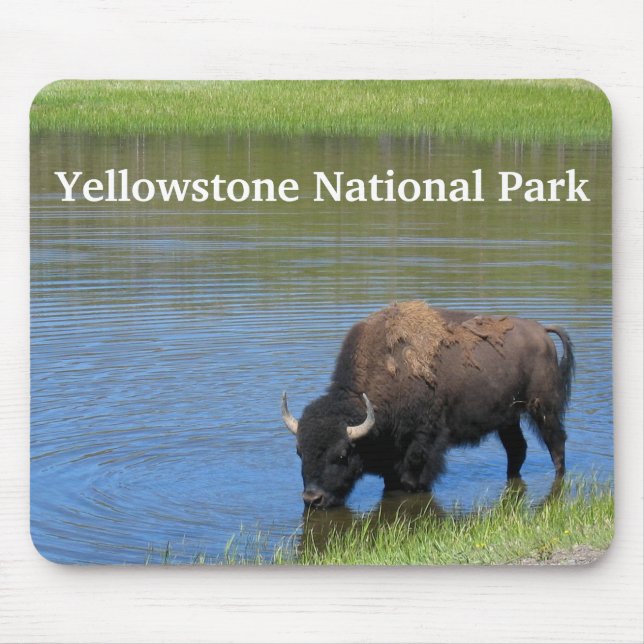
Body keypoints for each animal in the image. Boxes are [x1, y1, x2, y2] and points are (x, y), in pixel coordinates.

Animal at [281, 301, 575, 508]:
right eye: (299, 452)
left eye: (342, 454)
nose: (312, 499)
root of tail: (541, 331)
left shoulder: (423, 443)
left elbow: (413, 478)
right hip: (508, 419)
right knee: (517, 449)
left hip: (543, 408)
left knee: (556, 444)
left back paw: (560, 476)